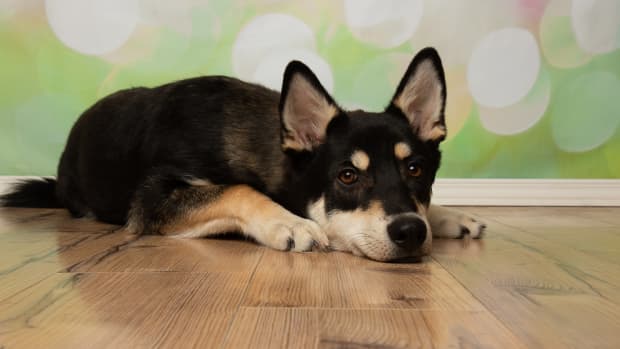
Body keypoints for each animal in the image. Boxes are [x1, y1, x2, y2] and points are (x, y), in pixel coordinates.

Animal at [0, 48, 484, 260]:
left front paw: (449, 216)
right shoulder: (154, 199)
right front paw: (290, 223)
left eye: (415, 168)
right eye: (347, 176)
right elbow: (236, 191)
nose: (410, 232)